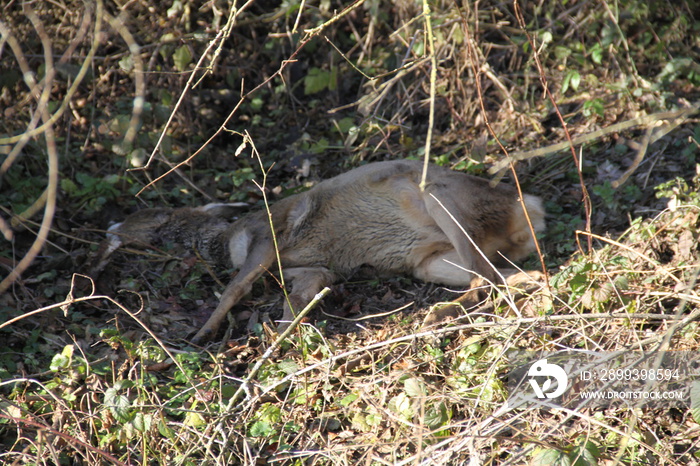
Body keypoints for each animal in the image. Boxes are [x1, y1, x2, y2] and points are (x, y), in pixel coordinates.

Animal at [93, 160, 544, 342]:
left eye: (151, 215)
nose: (109, 227)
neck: (225, 241)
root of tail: (530, 211)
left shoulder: (267, 236)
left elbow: (233, 289)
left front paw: (203, 332)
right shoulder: (310, 269)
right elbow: (295, 302)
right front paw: (278, 338)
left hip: (437, 195)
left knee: (487, 278)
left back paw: (436, 314)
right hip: (430, 263)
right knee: (500, 276)